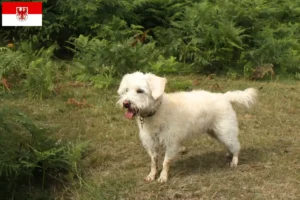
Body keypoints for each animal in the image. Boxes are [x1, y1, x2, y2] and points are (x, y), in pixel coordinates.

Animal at [117, 72, 258, 183]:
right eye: (126, 90)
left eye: (140, 91)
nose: (126, 103)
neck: (156, 111)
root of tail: (224, 96)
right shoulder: (151, 143)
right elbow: (153, 161)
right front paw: (152, 175)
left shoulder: (171, 143)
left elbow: (165, 162)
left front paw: (163, 177)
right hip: (216, 132)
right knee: (230, 145)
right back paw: (229, 154)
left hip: (225, 131)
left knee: (236, 146)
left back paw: (234, 161)